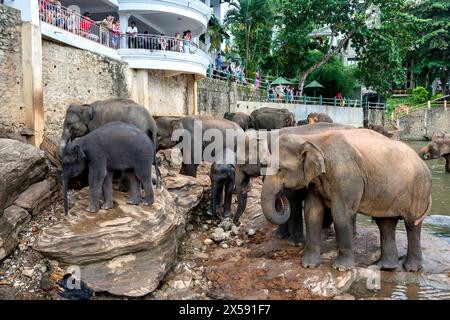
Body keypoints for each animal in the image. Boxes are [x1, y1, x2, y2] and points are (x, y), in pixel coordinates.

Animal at [262, 129, 430, 272]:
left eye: (280, 169)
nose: (281, 194)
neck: (313, 139)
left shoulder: (346, 177)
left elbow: (341, 214)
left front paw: (341, 268)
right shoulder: (315, 181)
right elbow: (312, 213)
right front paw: (308, 265)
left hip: (419, 189)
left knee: (411, 224)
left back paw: (411, 268)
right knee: (386, 223)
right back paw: (386, 267)